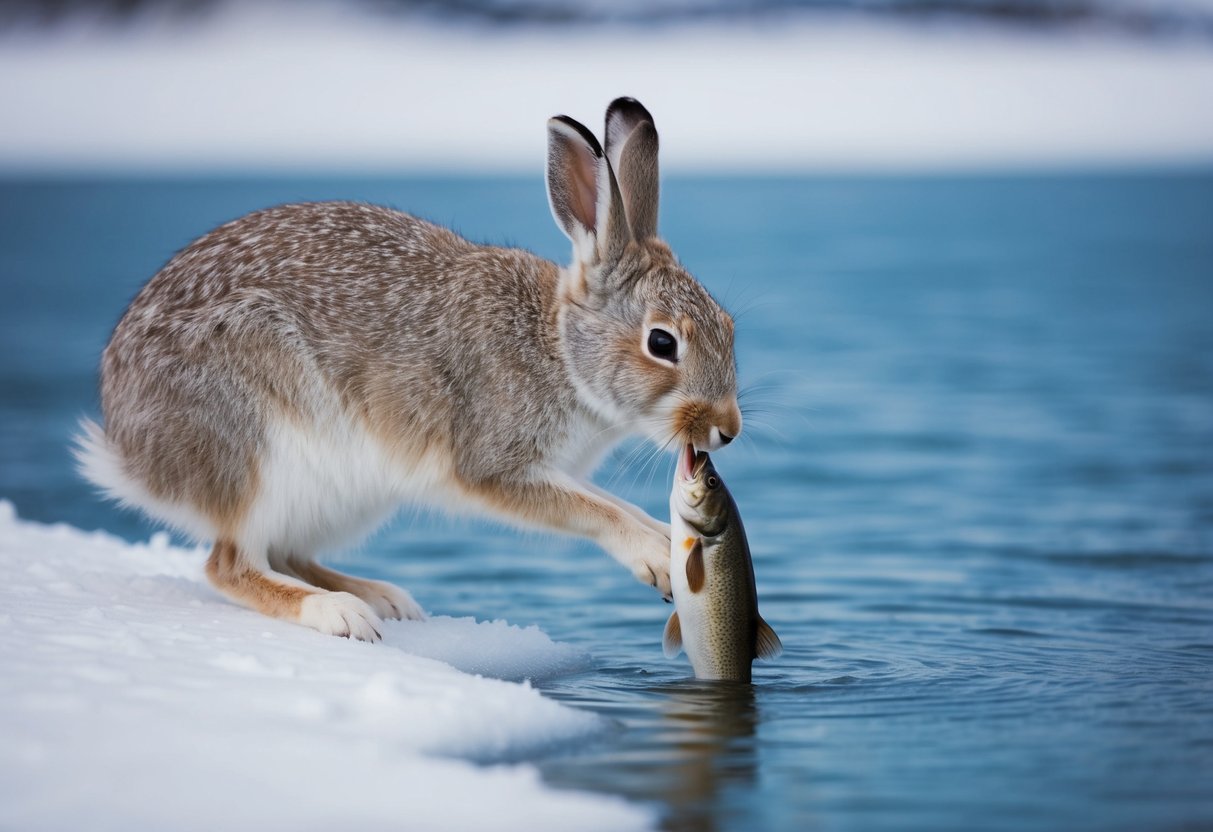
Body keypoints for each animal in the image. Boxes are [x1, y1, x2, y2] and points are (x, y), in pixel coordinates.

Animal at [76, 97, 742, 641]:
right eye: (662, 343)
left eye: (729, 326)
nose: (727, 430)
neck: (556, 347)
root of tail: (132, 453)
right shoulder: (492, 464)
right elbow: (593, 509)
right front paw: (653, 555)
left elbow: (611, 502)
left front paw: (665, 542)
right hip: (257, 447)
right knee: (230, 565)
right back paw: (338, 613)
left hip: (341, 492)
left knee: (285, 553)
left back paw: (381, 597)